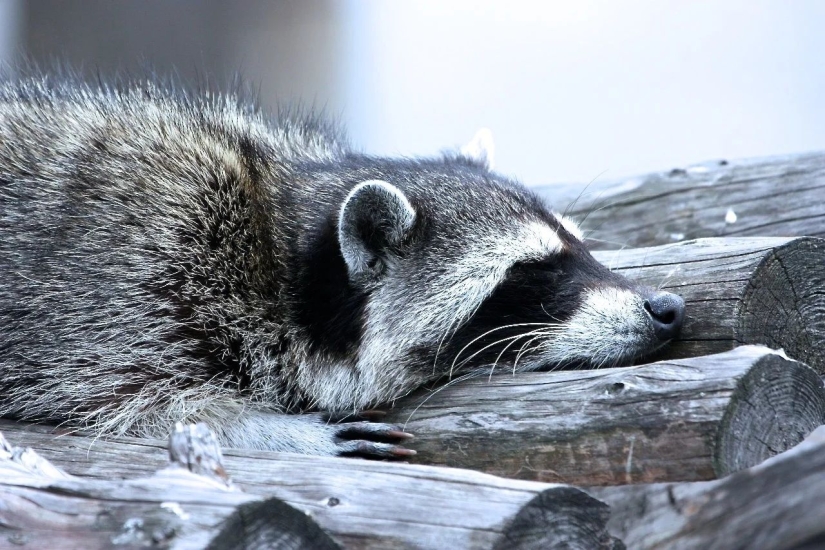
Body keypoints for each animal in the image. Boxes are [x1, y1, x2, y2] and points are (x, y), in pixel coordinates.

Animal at [0, 75, 685, 457]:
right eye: (532, 271)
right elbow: (140, 411)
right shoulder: (133, 287)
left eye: (583, 250)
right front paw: (271, 430)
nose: (667, 308)